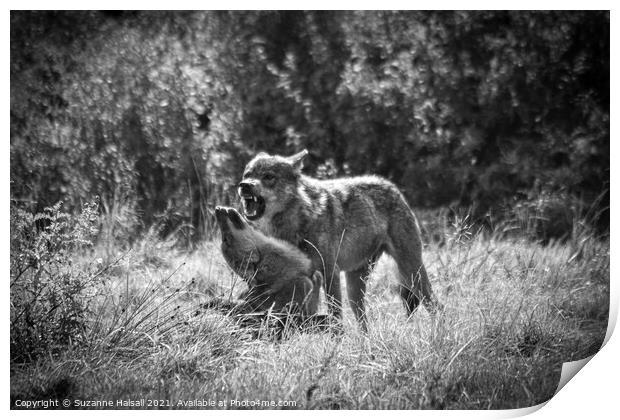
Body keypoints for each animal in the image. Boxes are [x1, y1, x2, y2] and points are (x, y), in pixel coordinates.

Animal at [237, 149, 440, 330]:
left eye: (268, 176)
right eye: (248, 174)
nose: (244, 185)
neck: (298, 219)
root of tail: (392, 187)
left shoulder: (330, 272)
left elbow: (334, 316)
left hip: (412, 272)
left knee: (435, 304)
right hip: (355, 287)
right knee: (363, 321)